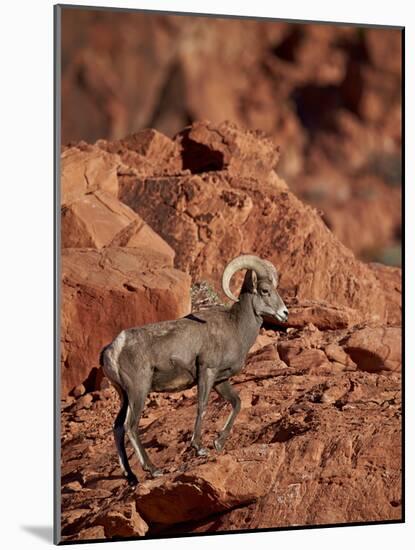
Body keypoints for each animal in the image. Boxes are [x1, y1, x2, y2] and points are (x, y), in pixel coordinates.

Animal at [101, 256, 290, 488]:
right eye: (264, 290)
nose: (285, 313)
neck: (235, 328)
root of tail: (113, 349)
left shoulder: (220, 380)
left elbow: (237, 403)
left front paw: (218, 442)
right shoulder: (207, 372)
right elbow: (202, 406)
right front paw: (199, 447)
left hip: (124, 396)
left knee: (118, 428)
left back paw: (131, 477)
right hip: (138, 391)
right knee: (131, 426)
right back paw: (153, 470)